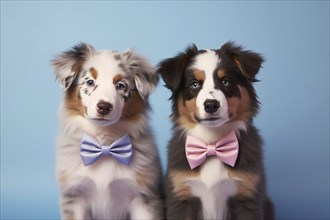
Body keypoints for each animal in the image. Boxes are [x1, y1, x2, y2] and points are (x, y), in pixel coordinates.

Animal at [51, 43, 163, 220]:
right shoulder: (74, 195)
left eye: (121, 86)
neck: (104, 142)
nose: (104, 106)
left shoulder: (144, 197)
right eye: (90, 82)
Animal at [157, 41, 274, 220]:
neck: (211, 143)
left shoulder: (247, 197)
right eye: (194, 84)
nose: (211, 105)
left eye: (225, 82)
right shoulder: (181, 197)